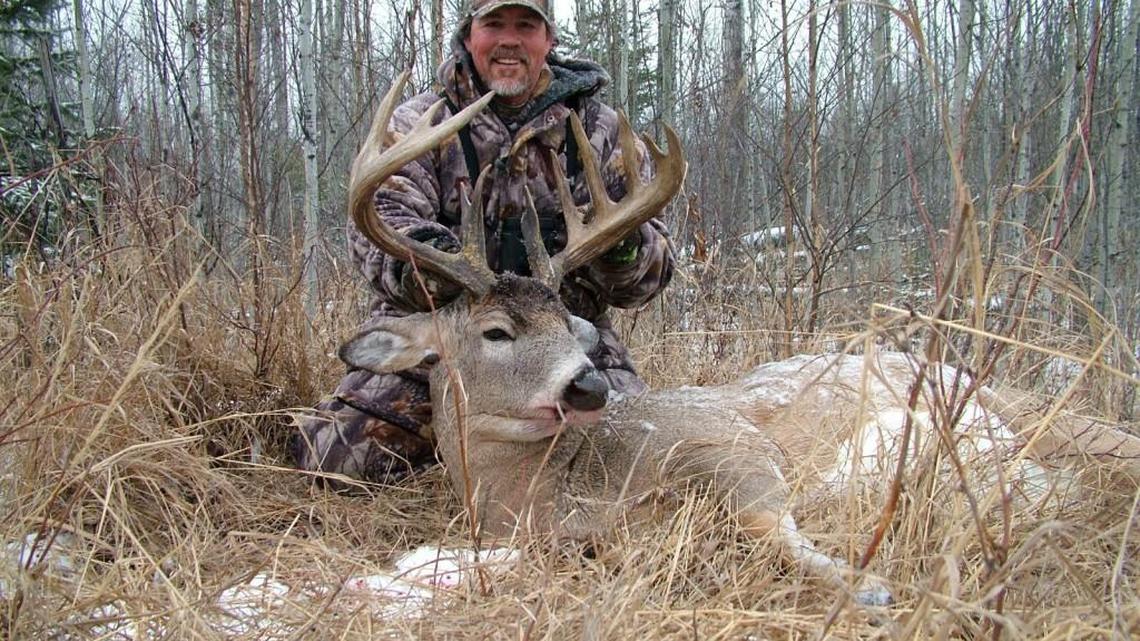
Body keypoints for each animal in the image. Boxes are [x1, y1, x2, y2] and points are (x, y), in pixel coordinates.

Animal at [334, 73, 1140, 607]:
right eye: (497, 330)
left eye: (569, 323)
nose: (587, 385)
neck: (550, 491)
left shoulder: (730, 446)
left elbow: (769, 522)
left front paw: (872, 584)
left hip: (1022, 410)